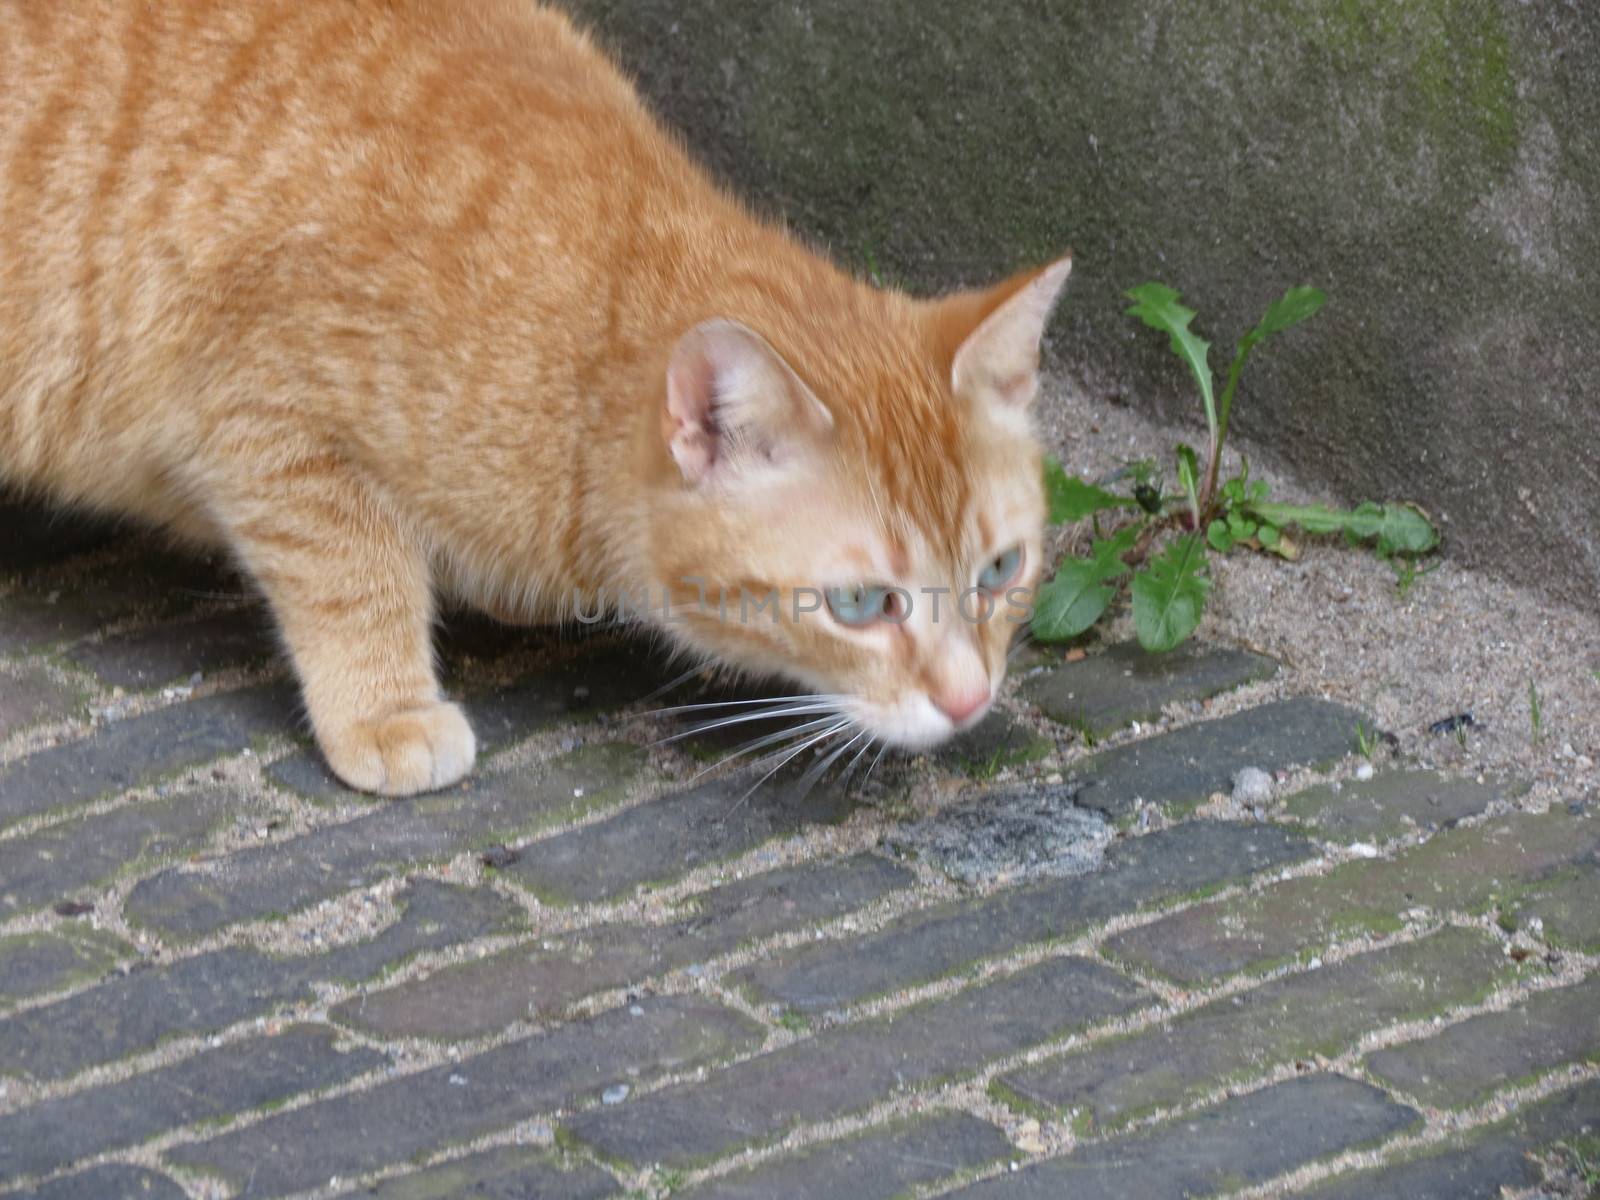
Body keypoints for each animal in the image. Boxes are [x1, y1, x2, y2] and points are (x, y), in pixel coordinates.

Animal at [3, 0, 1075, 800]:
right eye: (859, 603)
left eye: (1001, 570)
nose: (971, 700)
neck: (585, 335)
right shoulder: (267, 420)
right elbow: (352, 575)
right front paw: (384, 706)